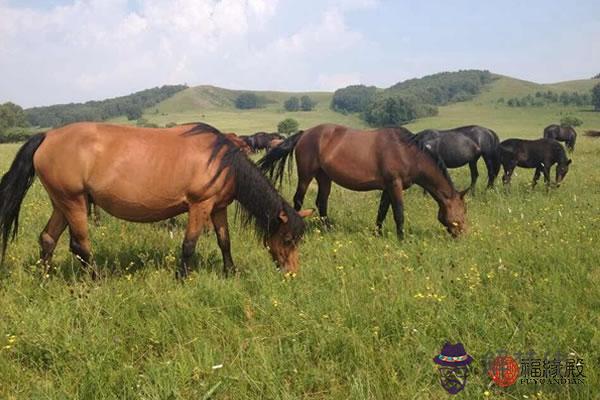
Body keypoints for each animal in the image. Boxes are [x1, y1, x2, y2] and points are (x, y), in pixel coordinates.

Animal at [2, 122, 314, 278]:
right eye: (288, 239)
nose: (293, 274)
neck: (224, 162)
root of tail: (47, 136)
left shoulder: (218, 208)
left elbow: (224, 241)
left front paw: (231, 272)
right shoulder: (199, 206)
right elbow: (189, 245)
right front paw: (182, 277)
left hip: (61, 203)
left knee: (47, 239)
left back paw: (45, 278)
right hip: (74, 202)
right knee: (80, 245)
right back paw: (96, 279)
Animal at [258, 123, 468, 239]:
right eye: (464, 212)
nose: (463, 235)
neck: (407, 152)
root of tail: (305, 133)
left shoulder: (388, 187)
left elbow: (382, 211)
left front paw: (378, 233)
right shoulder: (395, 184)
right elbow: (398, 213)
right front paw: (401, 239)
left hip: (324, 177)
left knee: (321, 202)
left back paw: (328, 229)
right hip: (306, 175)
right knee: (298, 199)